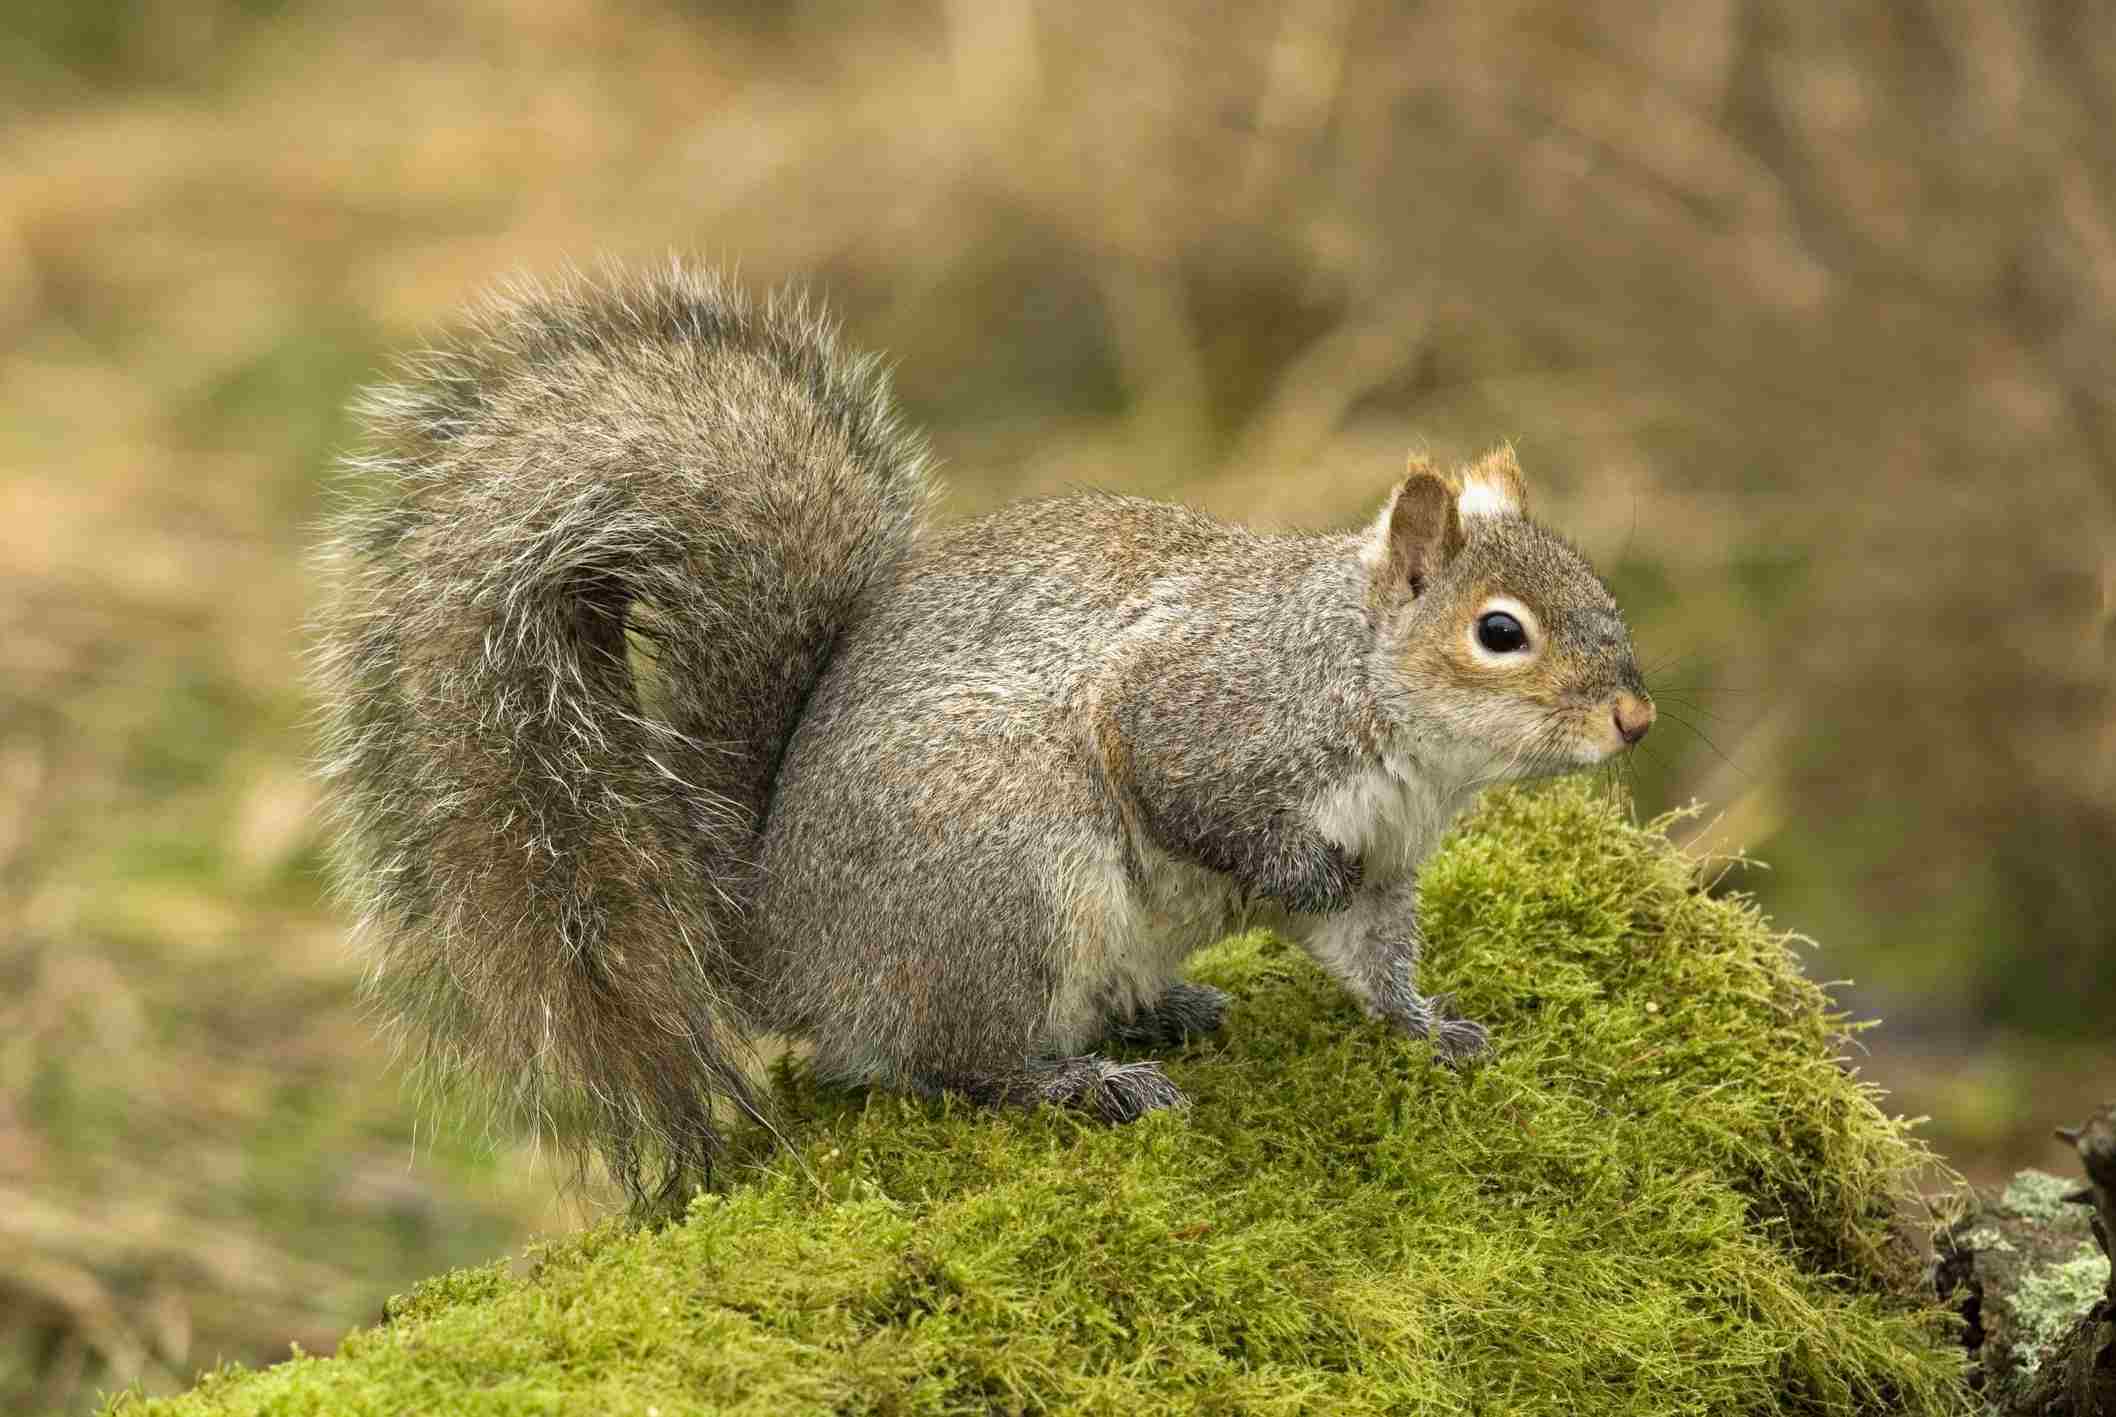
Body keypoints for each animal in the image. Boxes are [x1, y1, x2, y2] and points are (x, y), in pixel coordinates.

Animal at [308, 263, 1650, 1209]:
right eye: (1499, 631)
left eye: (1600, 587)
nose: (1634, 716)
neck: (1381, 709)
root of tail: (781, 950)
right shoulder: (1202, 712)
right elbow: (1188, 793)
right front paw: (1291, 873)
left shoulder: (1386, 868)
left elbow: (1372, 961)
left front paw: (1433, 1026)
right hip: (1008, 879)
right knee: (953, 1061)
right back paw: (1083, 1080)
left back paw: (1158, 1010)